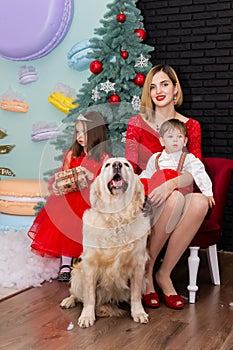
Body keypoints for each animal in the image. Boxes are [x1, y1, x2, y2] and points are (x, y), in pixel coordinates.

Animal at [60, 157, 151, 326]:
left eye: (126, 164)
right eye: (107, 165)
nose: (117, 165)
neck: (117, 217)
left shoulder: (138, 265)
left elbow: (135, 295)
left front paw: (139, 312)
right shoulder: (89, 265)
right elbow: (89, 296)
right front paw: (87, 316)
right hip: (77, 274)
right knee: (76, 294)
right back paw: (68, 301)